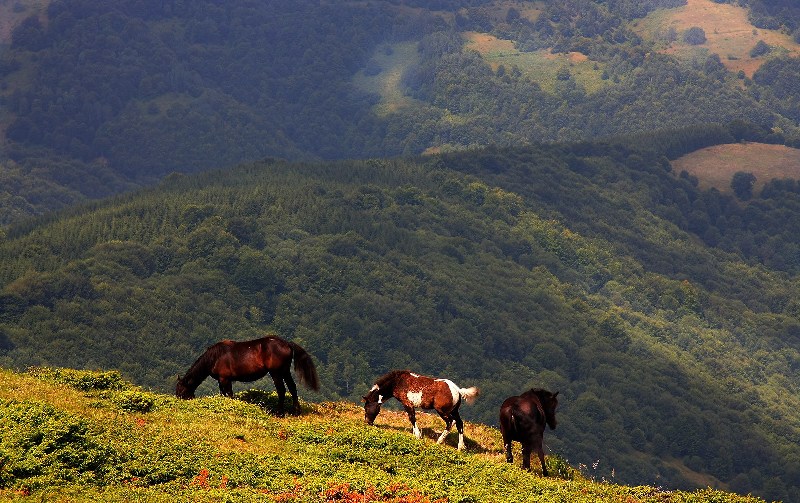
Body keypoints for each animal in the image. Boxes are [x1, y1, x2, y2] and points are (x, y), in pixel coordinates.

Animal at [177, 336, 320, 416]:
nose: (178, 402)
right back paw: (296, 411)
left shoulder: (225, 379)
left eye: (181, 391)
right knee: (292, 387)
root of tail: (287, 343)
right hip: (285, 371)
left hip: (276, 372)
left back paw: (279, 413)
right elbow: (224, 394)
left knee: (282, 390)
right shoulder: (221, 380)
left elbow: (229, 395)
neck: (215, 357)